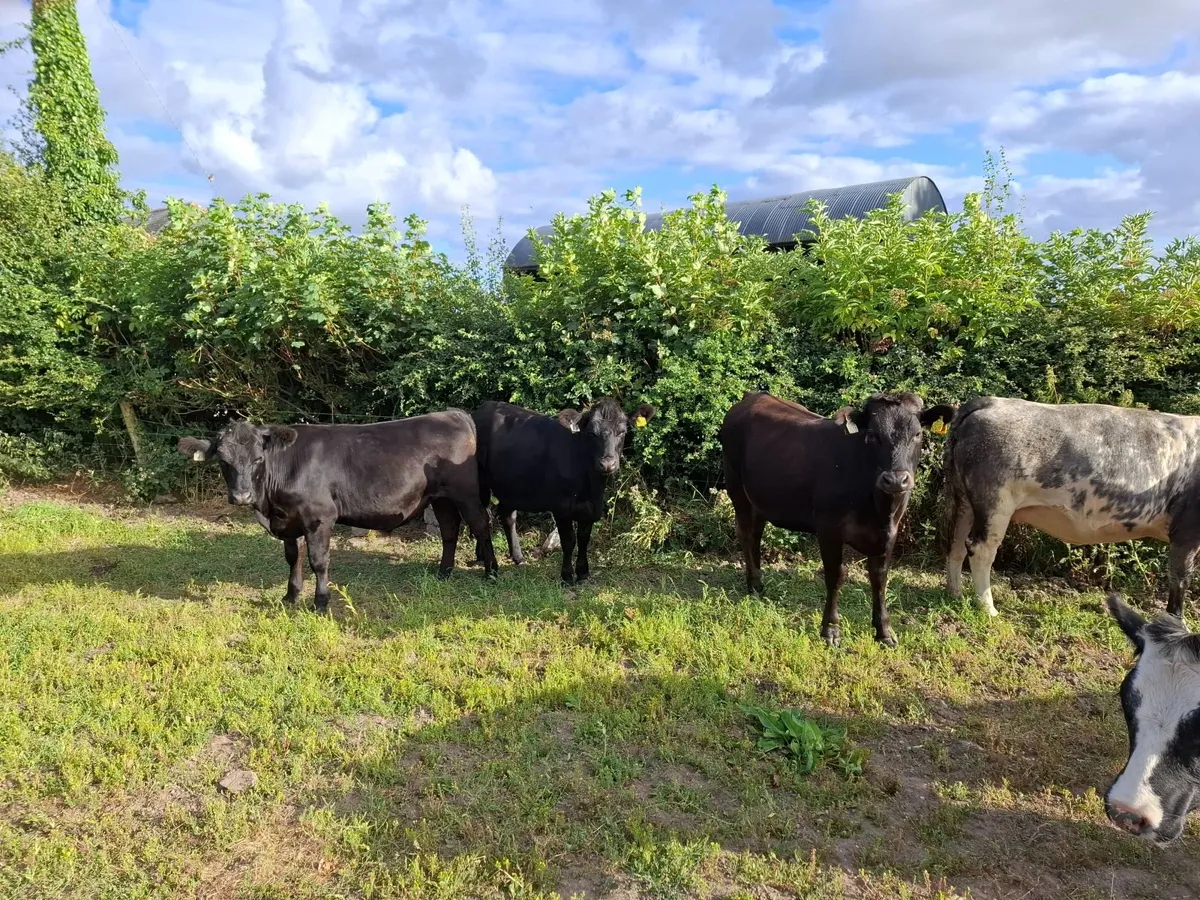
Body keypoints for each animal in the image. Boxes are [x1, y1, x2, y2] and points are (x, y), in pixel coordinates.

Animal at [177, 411, 498, 612]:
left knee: (481, 524)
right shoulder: (289, 520)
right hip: (440, 497)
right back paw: (444, 572)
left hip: (466, 493)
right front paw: (290, 596)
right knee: (449, 528)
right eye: (223, 460)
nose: (241, 495)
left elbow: (318, 561)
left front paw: (320, 602)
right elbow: (292, 558)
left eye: (258, 458)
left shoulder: (319, 517)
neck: (270, 508)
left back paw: (492, 572)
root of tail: (453, 414)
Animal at [473, 397, 656, 583]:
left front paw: (583, 572)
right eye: (591, 433)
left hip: (510, 485)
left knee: (507, 516)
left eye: (622, 432)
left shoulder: (591, 507)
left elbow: (584, 539)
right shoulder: (561, 507)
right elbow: (568, 541)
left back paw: (517, 557)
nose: (607, 464)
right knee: (483, 516)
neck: (589, 485)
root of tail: (483, 408)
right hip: (481, 483)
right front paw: (567, 576)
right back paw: (484, 559)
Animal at [720, 391, 955, 647]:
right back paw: (753, 583)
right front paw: (830, 630)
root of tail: (754, 396)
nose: (895, 480)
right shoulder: (828, 529)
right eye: (872, 435)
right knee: (744, 532)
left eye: (918, 434)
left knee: (756, 534)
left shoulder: (889, 532)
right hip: (736, 488)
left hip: (760, 499)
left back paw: (758, 583)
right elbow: (836, 575)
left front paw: (884, 632)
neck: (877, 507)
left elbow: (879, 578)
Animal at [944, 397, 1200, 619]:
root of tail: (991, 401)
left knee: (956, 544)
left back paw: (956, 594)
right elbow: (1180, 578)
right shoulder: (1187, 529)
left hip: (966, 500)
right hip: (996, 502)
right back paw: (988, 609)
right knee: (980, 548)